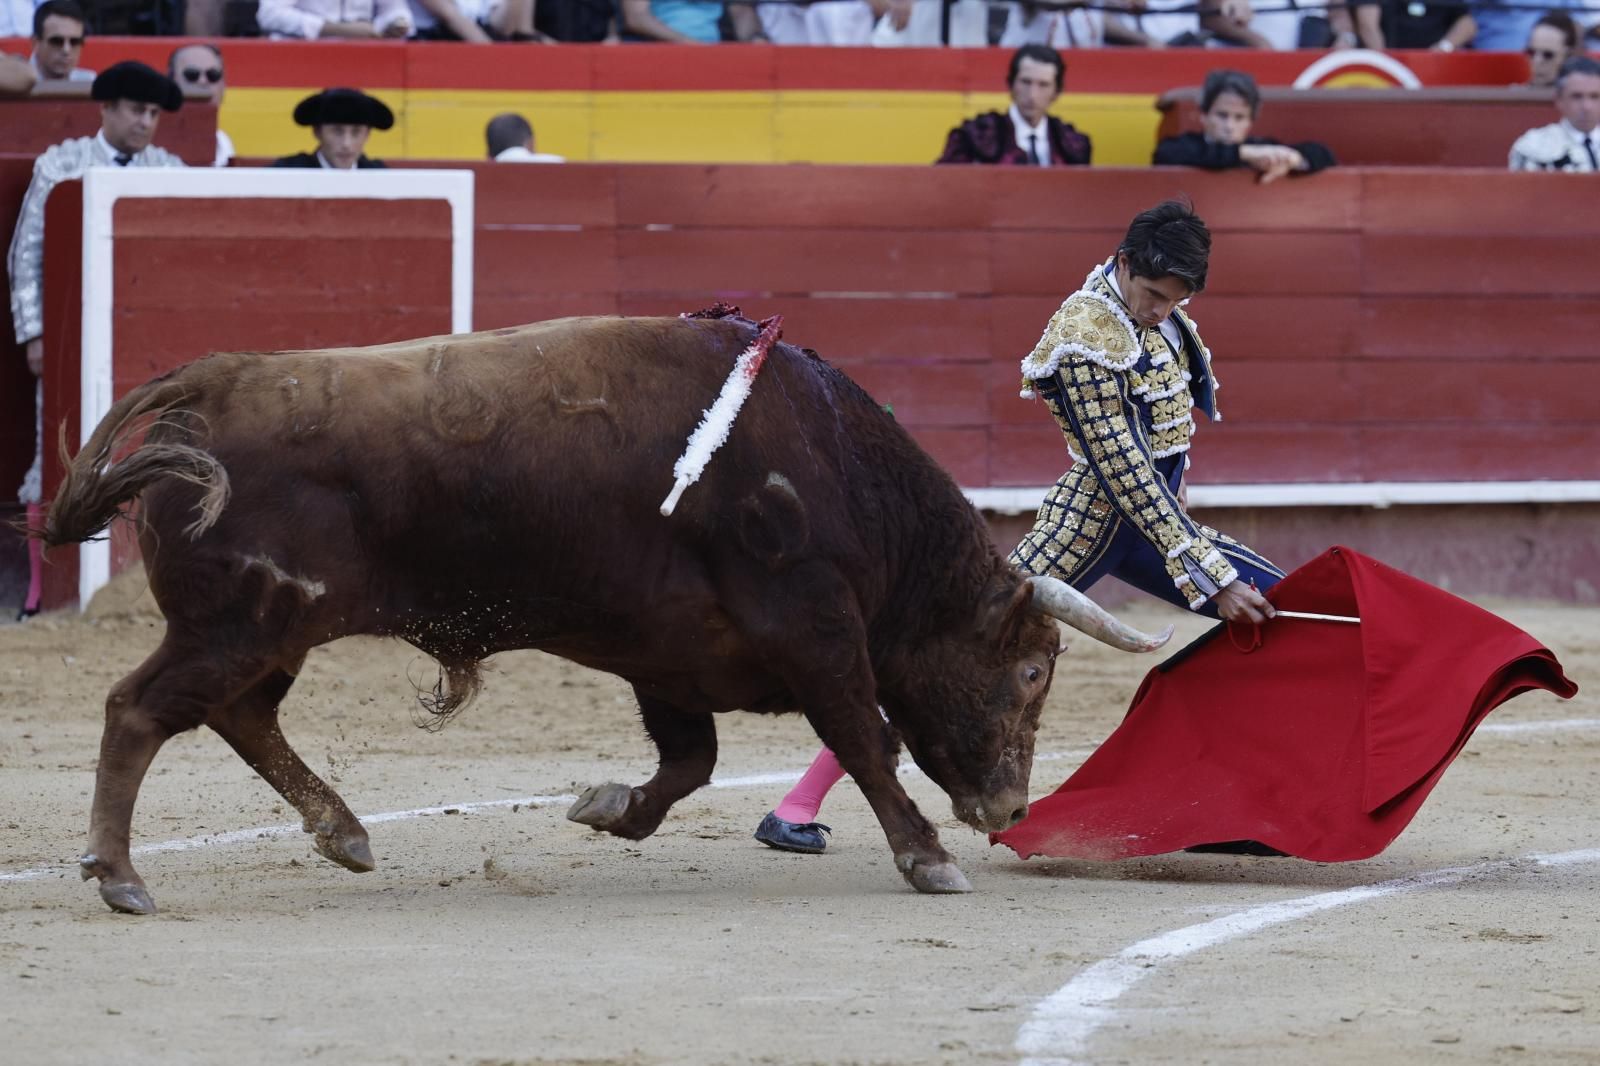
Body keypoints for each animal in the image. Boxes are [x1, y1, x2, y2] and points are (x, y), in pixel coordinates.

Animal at [43, 308, 1171, 915]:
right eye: (1033, 670)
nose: (1011, 809)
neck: (834, 470)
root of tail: (217, 381)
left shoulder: (673, 657)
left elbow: (691, 761)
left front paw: (605, 806)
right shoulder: (815, 631)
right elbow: (864, 738)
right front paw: (930, 860)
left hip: (271, 633)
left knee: (238, 715)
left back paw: (345, 834)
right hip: (237, 625)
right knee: (140, 711)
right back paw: (122, 875)